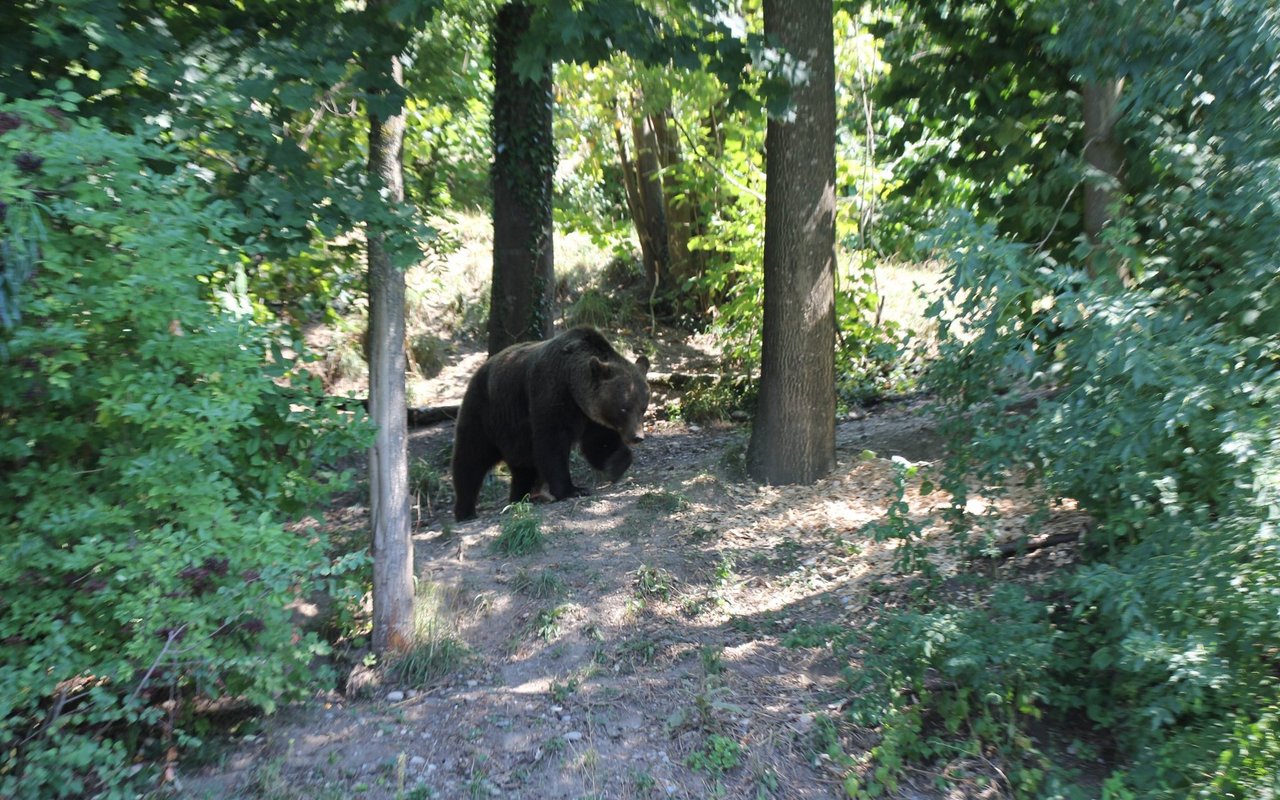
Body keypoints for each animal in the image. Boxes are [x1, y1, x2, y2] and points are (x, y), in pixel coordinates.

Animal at [451, 326, 650, 521]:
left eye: (642, 408)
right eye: (623, 408)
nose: (637, 437)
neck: (572, 386)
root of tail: (481, 368)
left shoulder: (591, 416)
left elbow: (599, 443)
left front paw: (615, 465)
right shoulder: (550, 393)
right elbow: (552, 443)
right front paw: (572, 490)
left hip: (514, 437)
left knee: (524, 468)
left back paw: (523, 498)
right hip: (486, 414)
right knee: (471, 458)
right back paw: (465, 511)